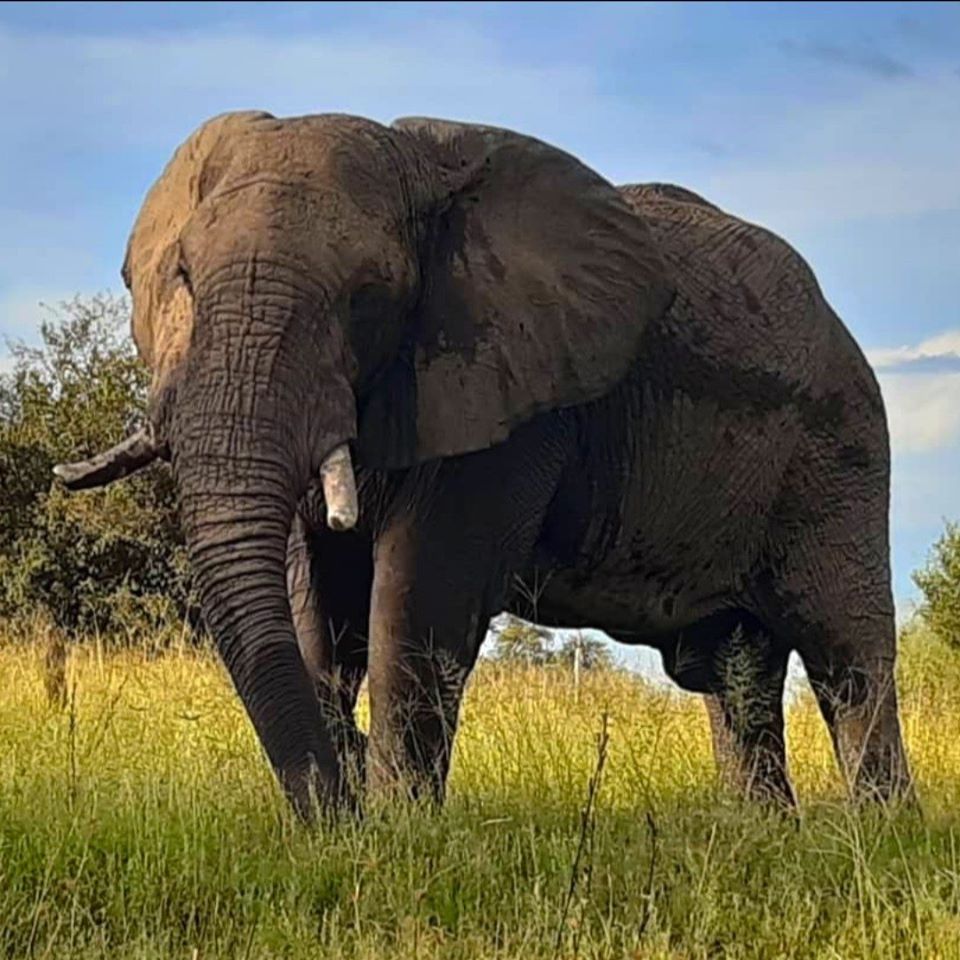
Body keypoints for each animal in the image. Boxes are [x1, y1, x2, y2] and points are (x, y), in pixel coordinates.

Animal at [54, 112, 916, 816]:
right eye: (182, 279)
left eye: (369, 294)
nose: (342, 791)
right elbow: (320, 608)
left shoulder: (513, 408)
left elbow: (416, 600)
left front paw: (397, 834)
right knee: (738, 678)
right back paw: (761, 835)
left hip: (840, 454)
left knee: (848, 658)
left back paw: (877, 834)